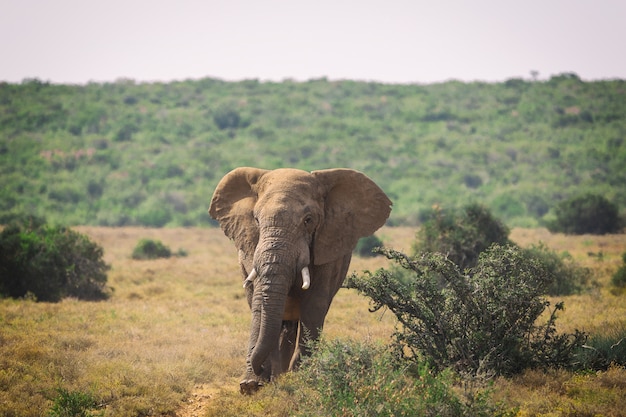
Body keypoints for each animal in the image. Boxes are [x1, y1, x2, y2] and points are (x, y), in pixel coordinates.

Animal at [210, 167, 390, 394]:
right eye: (256, 220)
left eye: (308, 220)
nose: (261, 370)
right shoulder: (252, 250)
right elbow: (258, 303)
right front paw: (252, 385)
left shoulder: (328, 245)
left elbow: (314, 305)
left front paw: (300, 379)